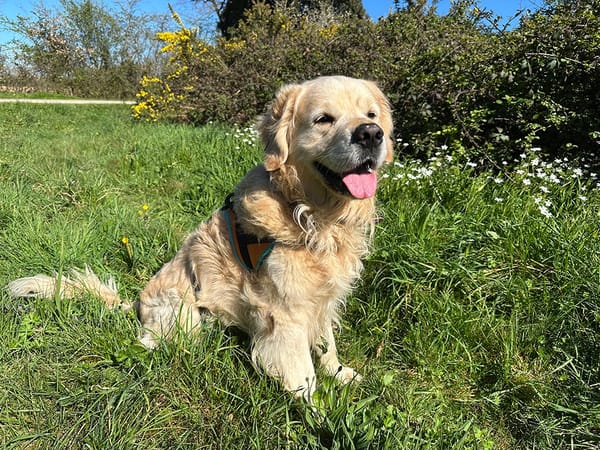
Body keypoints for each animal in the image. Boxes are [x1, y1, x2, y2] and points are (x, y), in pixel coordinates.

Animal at [8, 76, 394, 400]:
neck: (312, 216)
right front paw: (316, 416)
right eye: (323, 119)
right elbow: (303, 374)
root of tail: (136, 303)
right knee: (150, 340)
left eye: (370, 114)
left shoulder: (322, 298)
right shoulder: (285, 313)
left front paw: (341, 374)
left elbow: (327, 345)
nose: (371, 134)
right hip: (183, 312)